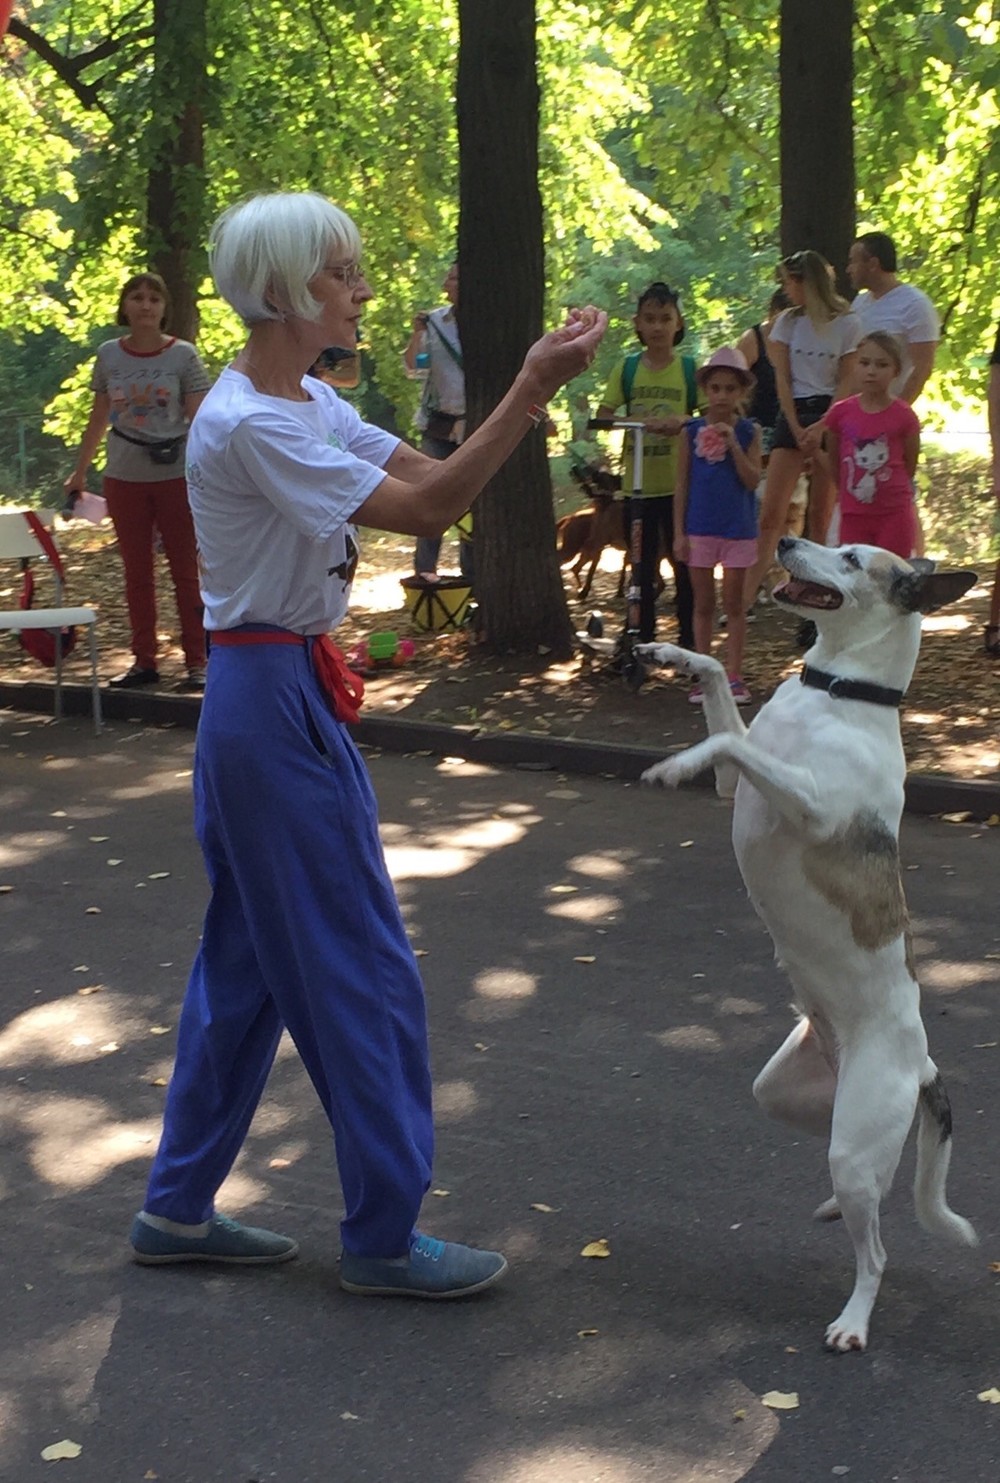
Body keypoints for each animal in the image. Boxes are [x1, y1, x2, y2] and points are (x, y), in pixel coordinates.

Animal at [637, 539, 973, 1352]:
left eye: (850, 557)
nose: (785, 543)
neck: (836, 694)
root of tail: (920, 1060)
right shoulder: (740, 784)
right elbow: (720, 690)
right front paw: (670, 651)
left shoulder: (813, 806)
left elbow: (723, 735)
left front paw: (674, 762)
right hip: (796, 1098)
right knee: (873, 1186)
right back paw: (832, 1209)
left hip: (852, 1139)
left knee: (875, 1249)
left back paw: (854, 1319)